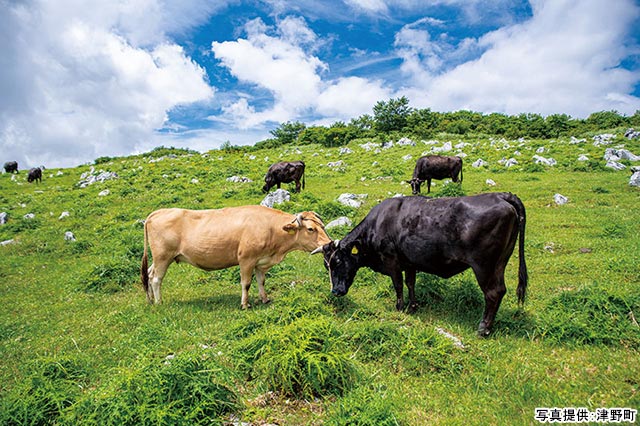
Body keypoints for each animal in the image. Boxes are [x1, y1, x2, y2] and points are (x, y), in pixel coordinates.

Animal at [140, 205, 330, 308]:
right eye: (310, 229)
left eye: (322, 225)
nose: (329, 243)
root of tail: (157, 212)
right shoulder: (246, 259)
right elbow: (246, 283)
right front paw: (245, 304)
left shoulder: (261, 262)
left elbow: (261, 281)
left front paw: (264, 299)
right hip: (163, 257)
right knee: (156, 279)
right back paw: (159, 302)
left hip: (160, 259)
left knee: (148, 274)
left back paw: (149, 299)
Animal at [312, 193, 528, 336]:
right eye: (326, 265)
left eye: (337, 261)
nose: (336, 291)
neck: (377, 224)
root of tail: (501, 196)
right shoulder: (410, 262)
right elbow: (410, 283)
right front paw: (413, 306)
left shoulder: (392, 261)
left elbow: (398, 284)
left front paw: (399, 307)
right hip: (500, 263)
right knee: (500, 290)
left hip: (484, 266)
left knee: (492, 293)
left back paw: (484, 328)